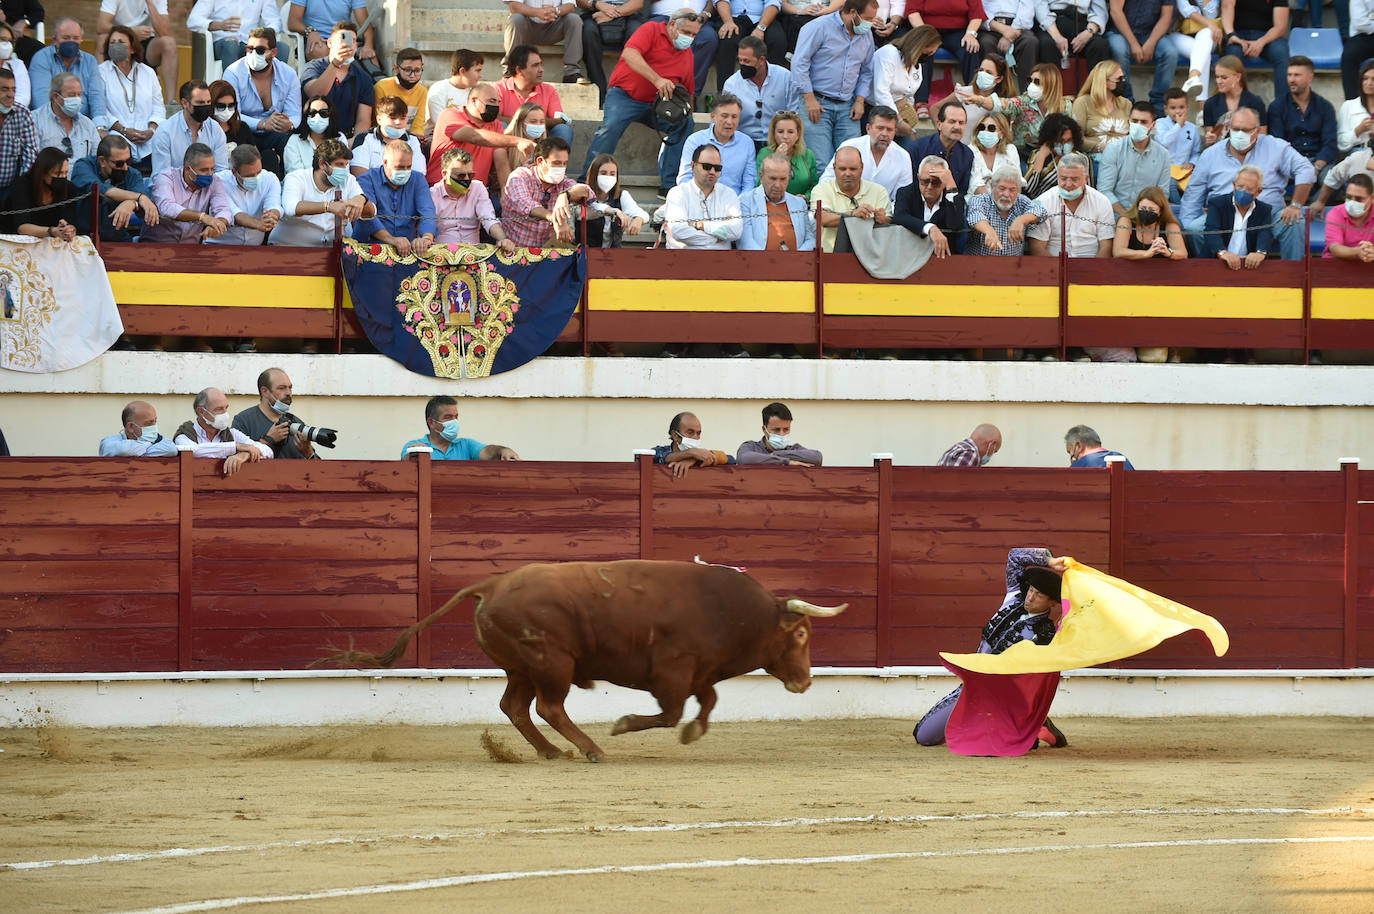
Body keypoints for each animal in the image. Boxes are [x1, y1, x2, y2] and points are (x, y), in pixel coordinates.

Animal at [327, 555, 840, 764]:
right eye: (799, 633)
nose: (805, 682)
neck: (732, 611)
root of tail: (492, 584)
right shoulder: (673, 671)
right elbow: (670, 712)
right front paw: (623, 725)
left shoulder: (698, 672)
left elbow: (705, 705)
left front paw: (693, 734)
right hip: (553, 662)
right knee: (549, 706)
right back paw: (591, 748)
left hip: (523, 666)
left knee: (515, 707)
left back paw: (552, 751)